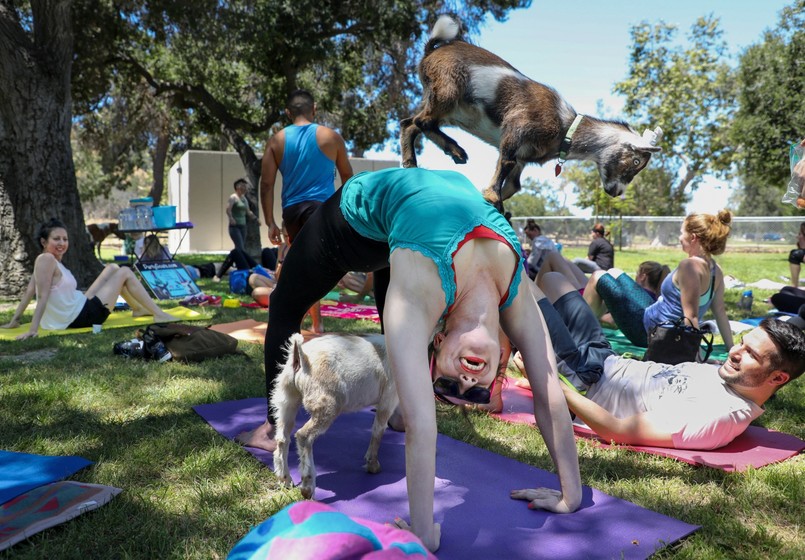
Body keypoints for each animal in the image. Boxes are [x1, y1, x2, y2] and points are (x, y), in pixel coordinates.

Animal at [270, 332, 396, 498]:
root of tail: (300, 357)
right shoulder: (388, 401)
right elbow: (378, 431)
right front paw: (373, 465)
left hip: (287, 399)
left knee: (282, 438)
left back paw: (285, 479)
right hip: (326, 406)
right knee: (303, 436)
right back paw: (307, 487)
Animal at [398, 16, 664, 212]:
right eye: (637, 160)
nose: (617, 192)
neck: (566, 127)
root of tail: (431, 50)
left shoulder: (524, 157)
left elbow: (514, 184)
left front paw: (496, 203)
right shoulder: (517, 128)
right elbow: (505, 163)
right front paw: (492, 196)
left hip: (448, 109)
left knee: (410, 123)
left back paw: (412, 163)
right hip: (447, 91)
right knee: (422, 121)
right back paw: (455, 151)